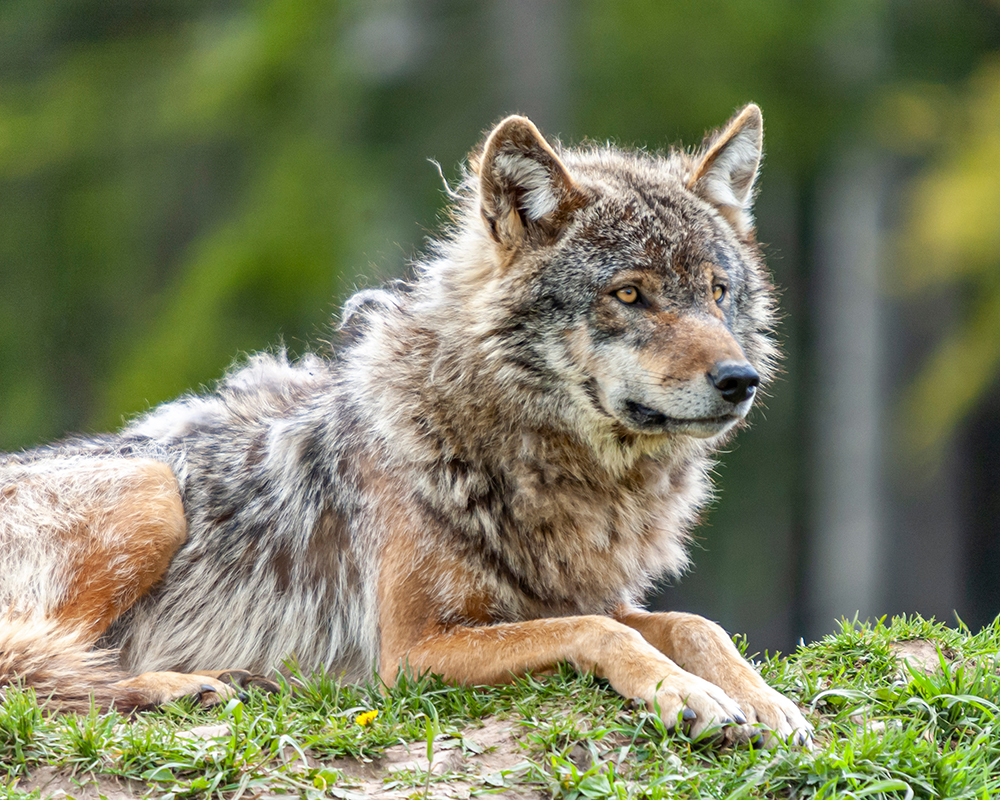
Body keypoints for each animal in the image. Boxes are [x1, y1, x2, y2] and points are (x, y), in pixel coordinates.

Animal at [0, 104, 811, 745]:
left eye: (717, 292)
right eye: (631, 294)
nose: (740, 380)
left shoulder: (576, 596)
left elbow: (693, 625)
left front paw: (767, 702)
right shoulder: (414, 652)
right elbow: (598, 632)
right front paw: (686, 694)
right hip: (151, 491)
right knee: (27, 672)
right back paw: (178, 686)